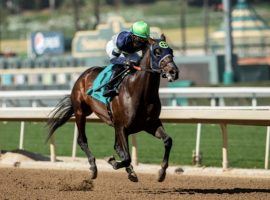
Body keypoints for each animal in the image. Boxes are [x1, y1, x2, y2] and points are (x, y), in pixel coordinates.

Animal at [47, 34, 179, 183]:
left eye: (171, 51)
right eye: (157, 52)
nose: (174, 72)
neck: (140, 92)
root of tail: (83, 75)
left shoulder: (150, 124)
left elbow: (168, 141)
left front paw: (161, 172)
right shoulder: (122, 127)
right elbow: (126, 157)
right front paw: (112, 161)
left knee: (117, 147)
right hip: (81, 112)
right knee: (82, 140)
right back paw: (93, 168)